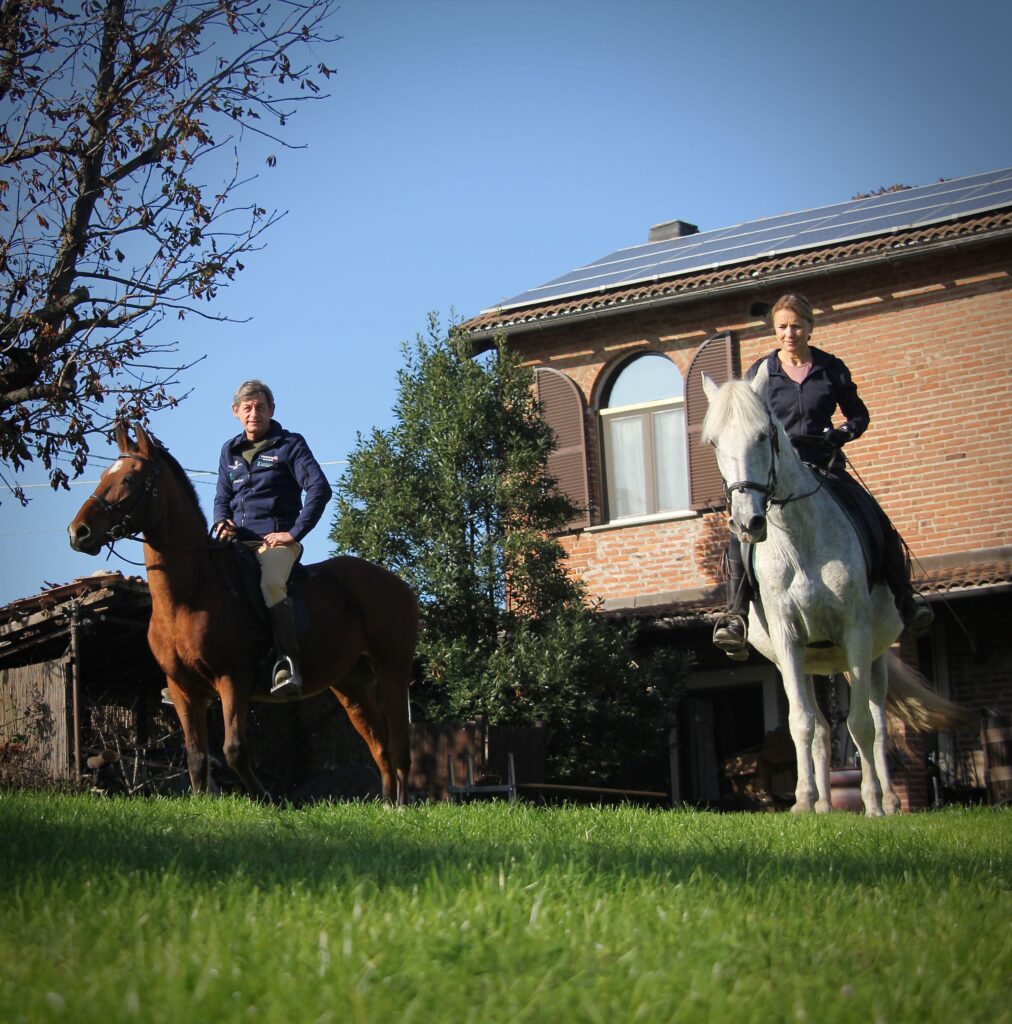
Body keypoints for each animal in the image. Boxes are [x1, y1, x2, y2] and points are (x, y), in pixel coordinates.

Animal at [68, 421, 415, 798]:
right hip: (351, 686)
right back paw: (387, 802)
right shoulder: (183, 688)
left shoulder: (231, 679)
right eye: (103, 475)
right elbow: (196, 757)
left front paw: (268, 799)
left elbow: (234, 750)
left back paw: (400, 804)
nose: (78, 532)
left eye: (129, 479)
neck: (187, 596)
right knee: (379, 747)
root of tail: (397, 584)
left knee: (399, 747)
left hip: (393, 673)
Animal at [700, 368, 966, 815]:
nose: (746, 523)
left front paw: (872, 804)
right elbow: (802, 724)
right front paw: (804, 802)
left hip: (874, 657)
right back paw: (824, 803)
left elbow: (861, 726)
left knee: (878, 723)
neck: (797, 539)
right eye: (715, 442)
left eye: (764, 435)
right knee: (823, 729)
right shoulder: (789, 640)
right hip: (808, 662)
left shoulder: (854, 633)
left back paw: (889, 801)